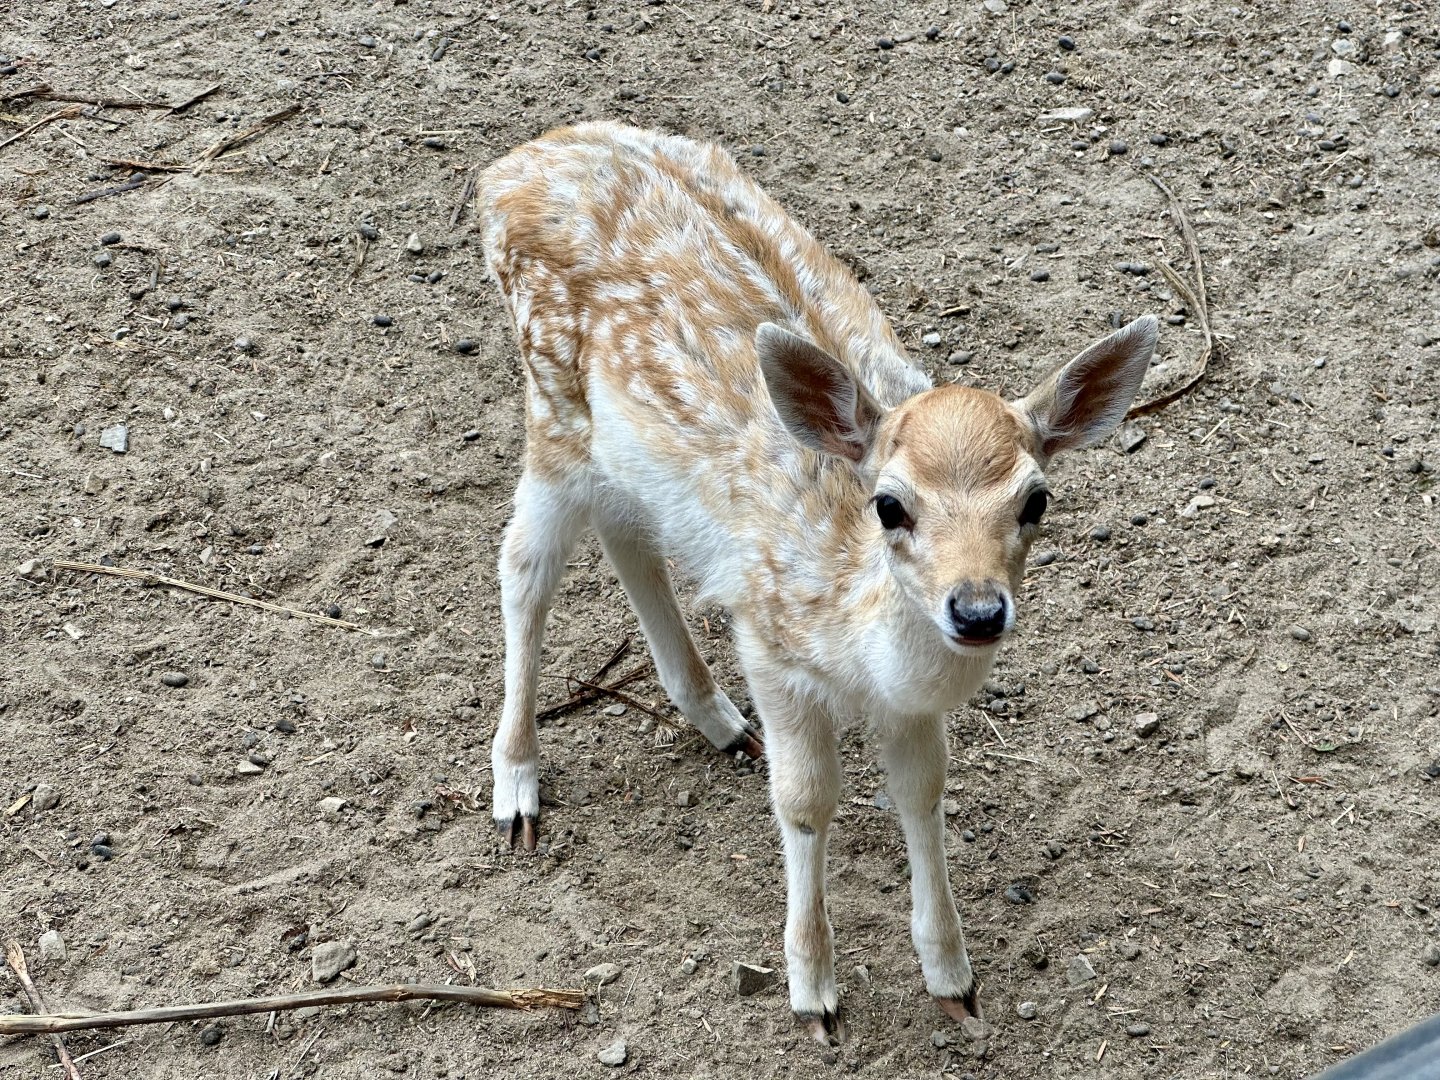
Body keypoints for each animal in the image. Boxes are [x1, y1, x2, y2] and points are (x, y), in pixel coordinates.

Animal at [477, 121, 1158, 1044]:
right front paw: (814, 992)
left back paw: (717, 721)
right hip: (552, 404)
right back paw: (517, 788)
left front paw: (955, 979)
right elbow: (805, 802)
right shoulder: (771, 645)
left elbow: (922, 793)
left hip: (619, 459)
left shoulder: (908, 707)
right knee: (524, 566)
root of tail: (512, 165)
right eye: (890, 504)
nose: (977, 609)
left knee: (627, 540)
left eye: (1037, 499)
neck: (857, 641)